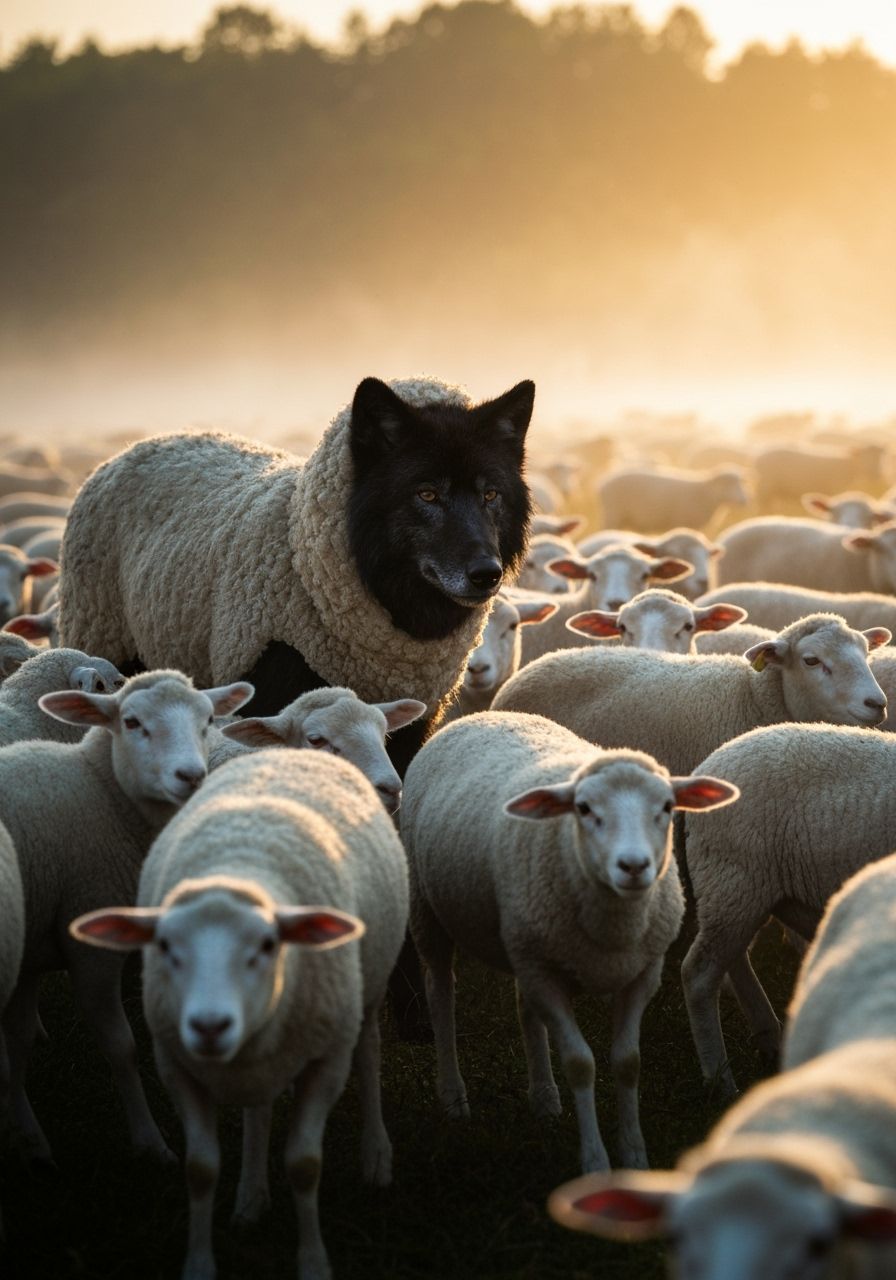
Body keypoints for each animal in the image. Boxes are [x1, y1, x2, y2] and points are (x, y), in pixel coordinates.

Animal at [2, 669, 253, 1165]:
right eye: (132, 722)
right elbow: (122, 1048)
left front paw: (27, 1134)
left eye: (208, 720)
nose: (191, 776)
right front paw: (149, 1140)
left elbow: (17, 1041)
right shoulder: (89, 942)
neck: (101, 793)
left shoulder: (30, 942)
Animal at [70, 746, 409, 1280]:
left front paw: (313, 1261)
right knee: (258, 1108)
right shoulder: (175, 1065)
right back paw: (251, 1197)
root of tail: (292, 748)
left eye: (268, 945)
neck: (239, 867)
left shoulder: (325, 1062)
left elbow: (305, 1166)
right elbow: (200, 1169)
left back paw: (376, 1155)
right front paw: (201, 1260)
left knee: (369, 1051)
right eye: (165, 946)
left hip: (368, 988)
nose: (209, 1025)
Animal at [400, 711, 739, 1174]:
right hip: (427, 908)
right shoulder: (548, 977)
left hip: (524, 940)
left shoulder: (641, 975)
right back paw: (454, 1098)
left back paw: (545, 1101)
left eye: (668, 807)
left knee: (524, 1006)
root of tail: (482, 713)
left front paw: (634, 1156)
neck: (613, 926)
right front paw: (595, 1163)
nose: (634, 866)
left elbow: (628, 1063)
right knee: (440, 993)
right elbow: (580, 1064)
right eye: (584, 809)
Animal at [597, 466, 748, 534]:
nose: (744, 500)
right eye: (727, 484)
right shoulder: (682, 522)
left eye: (741, 483)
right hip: (612, 515)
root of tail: (603, 484)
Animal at [681, 721, 896, 1096]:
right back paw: (721, 1082)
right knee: (699, 974)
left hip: (744, 889)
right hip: (734, 879)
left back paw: (769, 1036)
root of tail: (706, 767)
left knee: (734, 959)